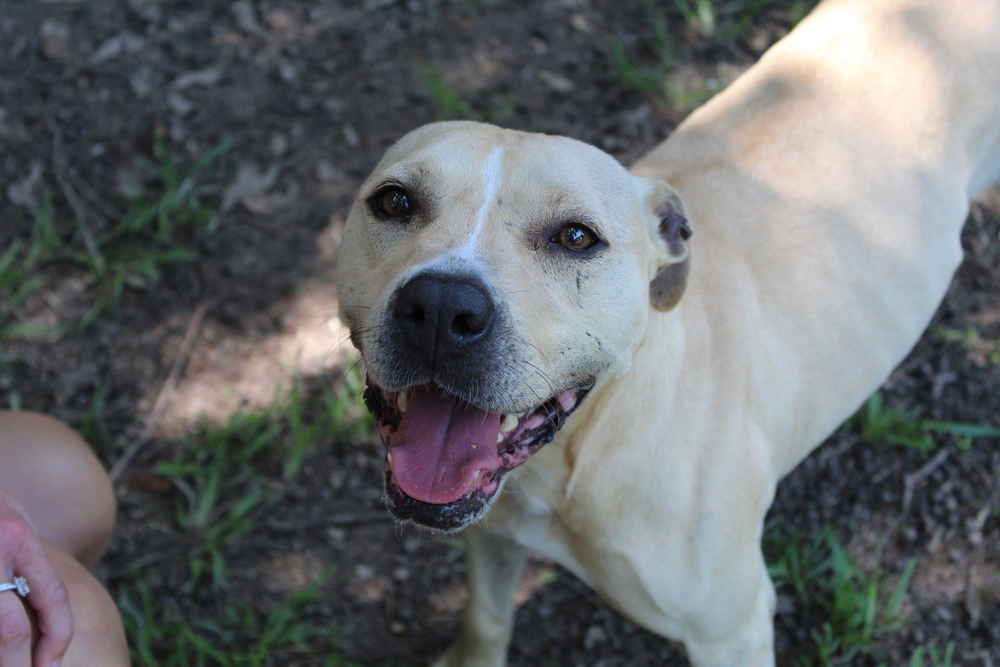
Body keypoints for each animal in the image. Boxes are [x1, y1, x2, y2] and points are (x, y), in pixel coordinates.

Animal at [338, 2, 1000, 664]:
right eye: (394, 202)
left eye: (575, 237)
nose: (442, 307)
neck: (581, 451)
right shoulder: (492, 536)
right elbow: (486, 617)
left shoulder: (731, 630)